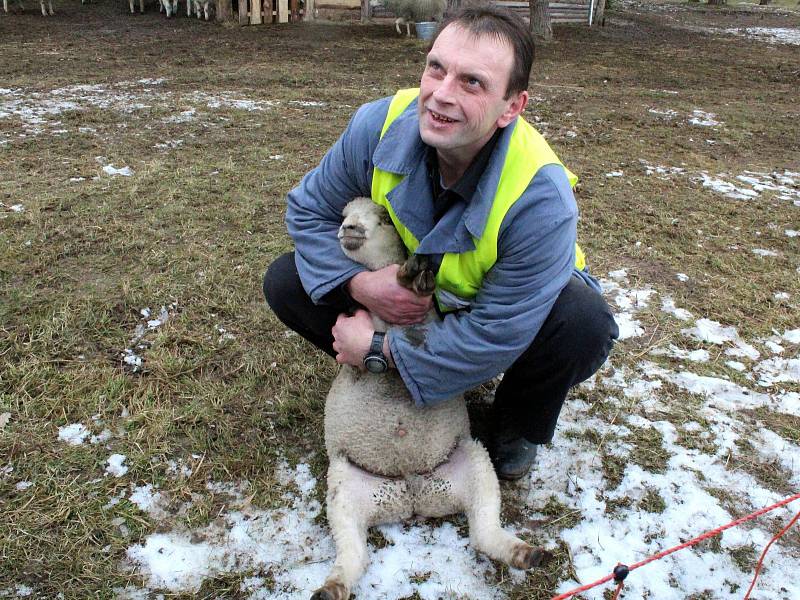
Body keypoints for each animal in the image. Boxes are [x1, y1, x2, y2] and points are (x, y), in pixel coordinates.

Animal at [312, 198, 544, 600]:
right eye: (343, 215)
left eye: (384, 218)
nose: (349, 229)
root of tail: (411, 494)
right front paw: (409, 275)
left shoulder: (424, 322)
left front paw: (416, 275)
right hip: (342, 490)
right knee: (354, 554)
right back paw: (331, 587)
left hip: (476, 463)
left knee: (484, 529)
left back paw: (524, 553)